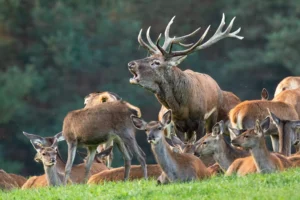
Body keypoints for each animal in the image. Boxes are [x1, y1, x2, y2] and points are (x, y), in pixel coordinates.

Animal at [127, 13, 243, 141]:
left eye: (156, 62)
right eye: (149, 57)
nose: (131, 64)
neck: (182, 109)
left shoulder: (200, 121)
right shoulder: (177, 124)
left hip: (213, 117)